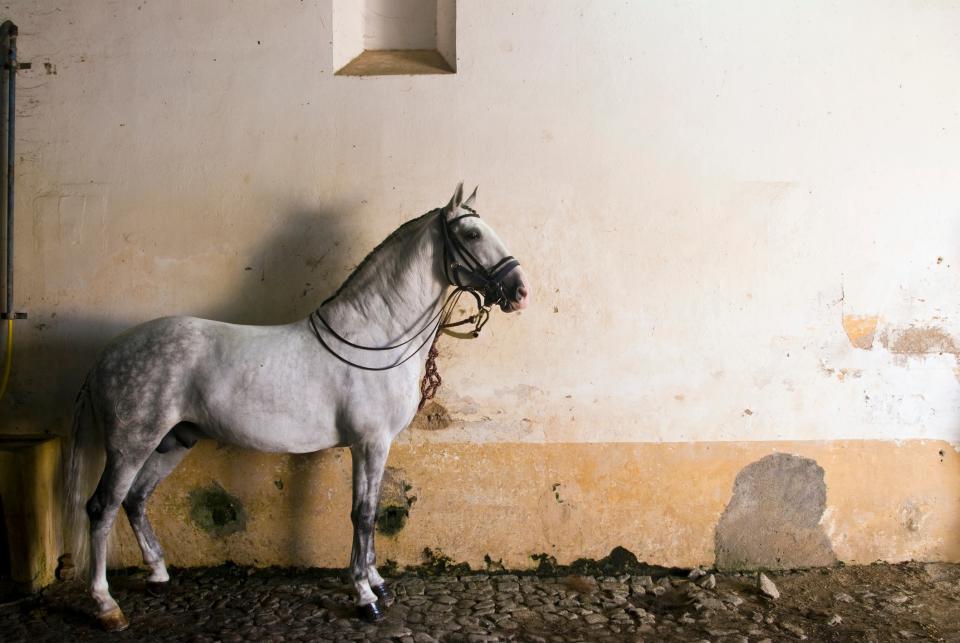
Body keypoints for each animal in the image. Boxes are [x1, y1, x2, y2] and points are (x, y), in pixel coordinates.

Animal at [65, 184, 532, 632]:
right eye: (471, 234)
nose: (520, 292)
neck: (375, 339)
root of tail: (107, 354)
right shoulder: (369, 443)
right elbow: (363, 514)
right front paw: (364, 596)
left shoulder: (375, 446)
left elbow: (369, 512)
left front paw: (375, 581)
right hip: (131, 444)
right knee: (102, 507)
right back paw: (106, 606)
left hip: (173, 441)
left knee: (136, 500)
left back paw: (158, 575)